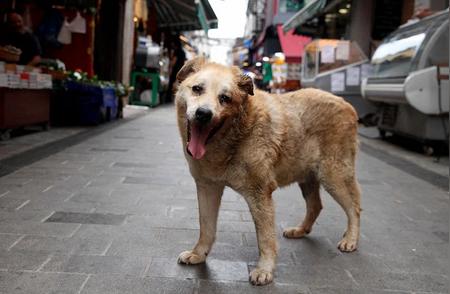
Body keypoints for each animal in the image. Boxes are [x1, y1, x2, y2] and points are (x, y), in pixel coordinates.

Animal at [174, 57, 360, 284]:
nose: (203, 114)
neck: (236, 136)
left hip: (333, 176)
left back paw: (351, 239)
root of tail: (347, 104)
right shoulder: (208, 187)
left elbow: (265, 237)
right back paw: (300, 230)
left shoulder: (260, 193)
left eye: (225, 98)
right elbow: (206, 226)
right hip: (308, 177)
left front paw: (265, 269)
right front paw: (199, 254)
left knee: (354, 207)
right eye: (197, 89)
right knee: (316, 205)